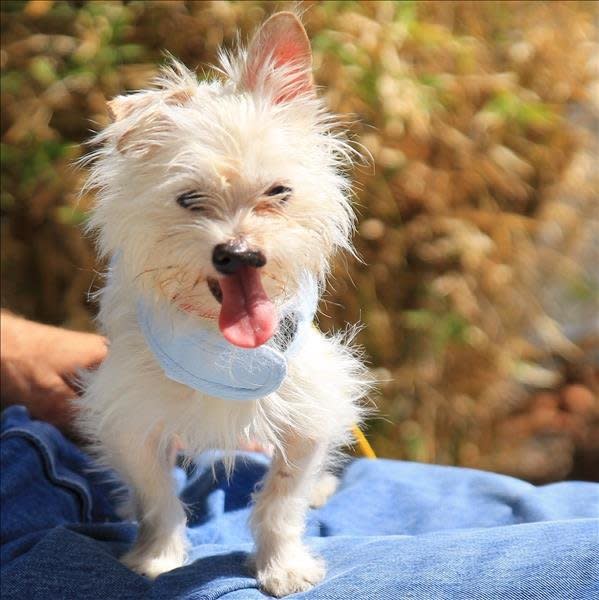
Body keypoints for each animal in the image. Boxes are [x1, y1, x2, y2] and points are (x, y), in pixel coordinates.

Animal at [78, 11, 370, 596]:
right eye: (190, 199)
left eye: (278, 192)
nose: (239, 254)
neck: (220, 343)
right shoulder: (130, 419)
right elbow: (156, 499)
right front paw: (158, 558)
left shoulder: (308, 417)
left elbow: (282, 501)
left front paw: (283, 565)